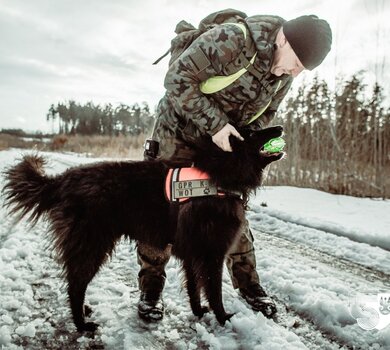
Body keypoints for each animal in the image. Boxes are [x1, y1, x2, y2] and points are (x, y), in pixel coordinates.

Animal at [2, 125, 284, 330]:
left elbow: (194, 287)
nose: (280, 126)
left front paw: (198, 312)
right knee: (75, 284)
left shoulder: (193, 255)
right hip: (92, 245)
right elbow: (214, 292)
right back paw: (81, 324)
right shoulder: (210, 255)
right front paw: (223, 318)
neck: (217, 173)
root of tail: (62, 180)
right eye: (253, 132)